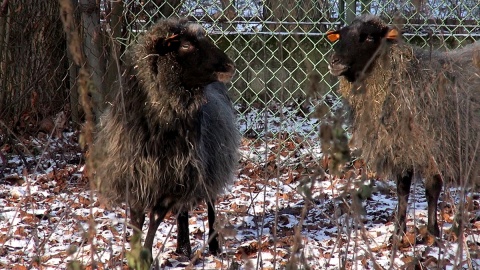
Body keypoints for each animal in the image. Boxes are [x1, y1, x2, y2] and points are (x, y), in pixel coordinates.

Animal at [92, 17, 240, 260]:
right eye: (186, 46)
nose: (229, 66)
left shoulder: (174, 180)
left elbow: (154, 219)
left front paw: (146, 257)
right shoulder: (136, 177)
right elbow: (138, 220)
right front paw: (135, 255)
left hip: (209, 166)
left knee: (210, 203)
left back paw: (213, 246)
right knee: (183, 211)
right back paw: (183, 248)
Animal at [326, 14, 480, 238]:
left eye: (369, 37)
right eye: (341, 35)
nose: (334, 62)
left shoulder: (433, 145)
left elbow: (432, 190)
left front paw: (433, 231)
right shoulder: (401, 147)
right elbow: (402, 190)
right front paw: (398, 231)